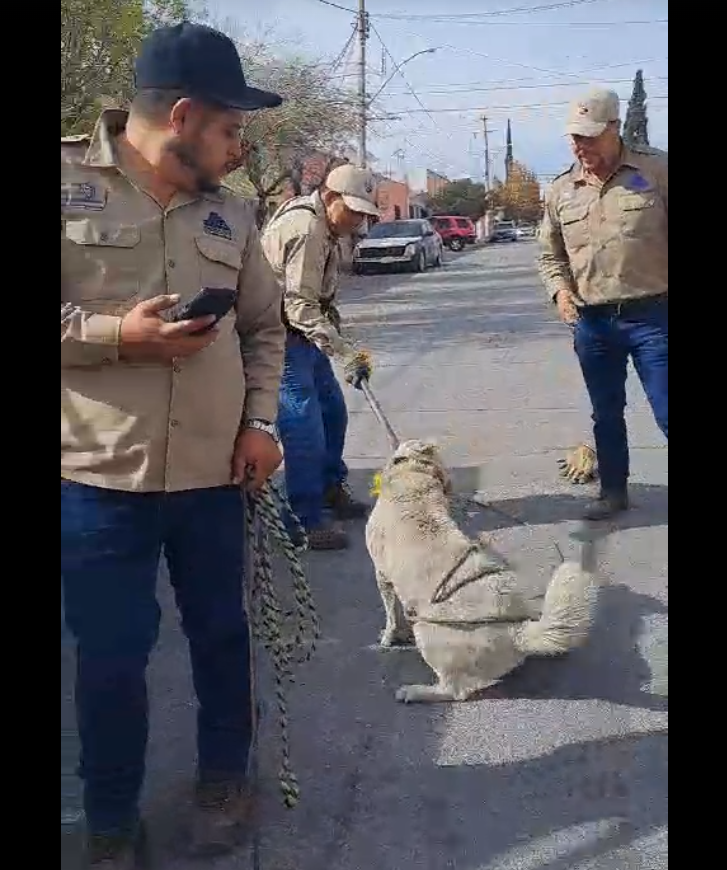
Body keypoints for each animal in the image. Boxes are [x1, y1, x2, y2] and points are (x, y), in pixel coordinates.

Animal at [366, 439, 601, 704]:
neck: (414, 476)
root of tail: (516, 633)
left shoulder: (381, 575)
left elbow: (391, 614)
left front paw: (388, 637)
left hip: (428, 633)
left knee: (456, 691)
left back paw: (416, 692)